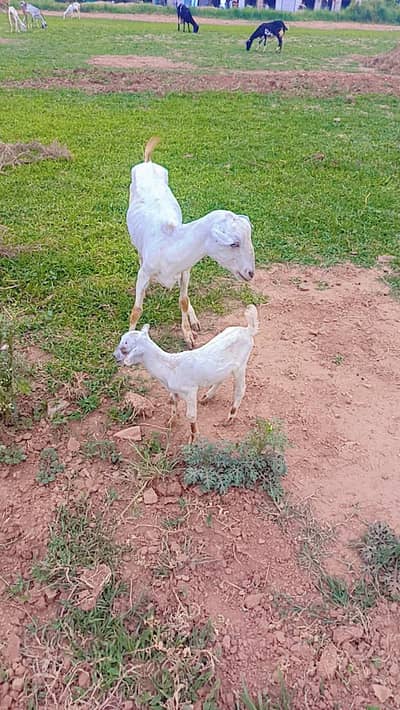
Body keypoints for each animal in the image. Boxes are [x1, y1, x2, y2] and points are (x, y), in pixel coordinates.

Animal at [114, 305, 259, 442]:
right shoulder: (172, 389)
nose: (114, 356)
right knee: (220, 378)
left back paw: (229, 418)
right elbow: (173, 403)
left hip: (241, 365)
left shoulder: (190, 390)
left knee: (240, 390)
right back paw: (207, 397)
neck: (170, 367)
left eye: (125, 347)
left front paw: (193, 438)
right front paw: (171, 422)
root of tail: (247, 330)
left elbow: (191, 415)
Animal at [127, 137, 255, 349]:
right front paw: (128, 339)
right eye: (234, 244)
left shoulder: (185, 270)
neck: (169, 242)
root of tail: (148, 163)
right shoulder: (144, 272)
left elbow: (184, 300)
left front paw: (188, 333)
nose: (250, 273)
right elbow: (136, 310)